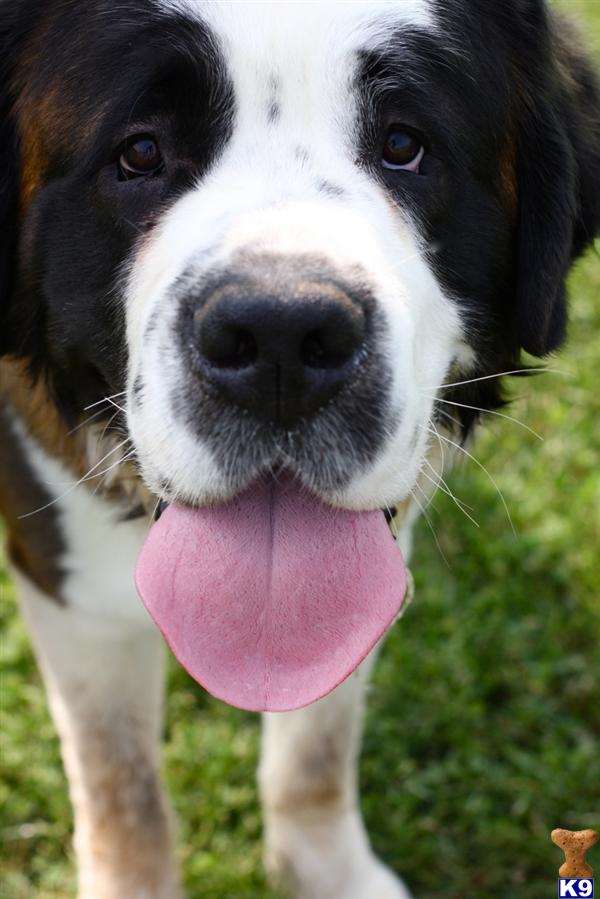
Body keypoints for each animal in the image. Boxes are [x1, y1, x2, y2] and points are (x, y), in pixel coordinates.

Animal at [1, 0, 600, 896]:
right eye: (139, 152)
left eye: (404, 145)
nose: (281, 336)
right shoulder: (68, 572)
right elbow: (121, 780)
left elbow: (320, 736)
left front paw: (326, 867)